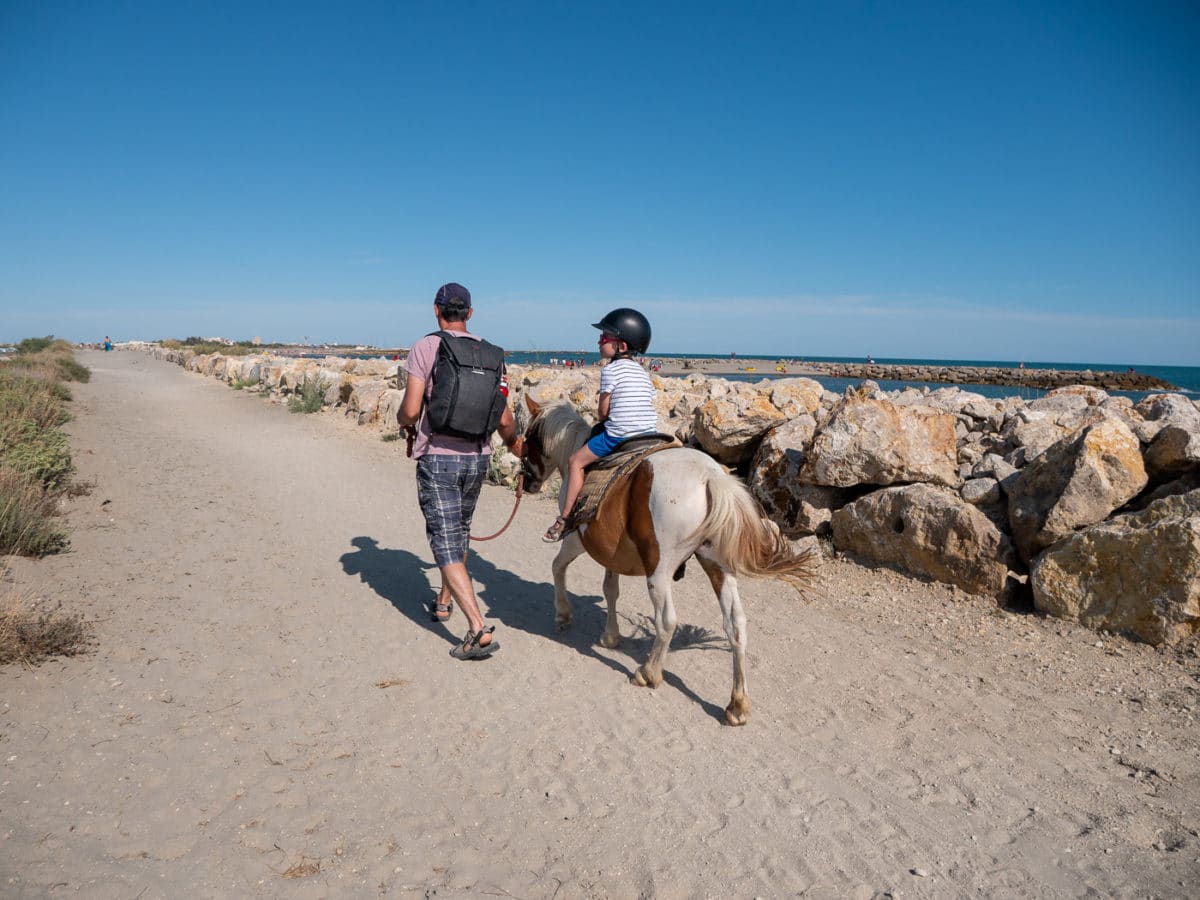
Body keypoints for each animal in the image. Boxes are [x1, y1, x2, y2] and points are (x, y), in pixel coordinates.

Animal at [523, 398, 816, 729]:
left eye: (527, 438)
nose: (528, 482)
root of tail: (711, 477)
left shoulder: (576, 539)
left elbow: (558, 567)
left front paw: (563, 615)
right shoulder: (611, 551)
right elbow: (610, 589)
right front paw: (611, 636)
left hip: (659, 570)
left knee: (667, 621)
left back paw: (648, 673)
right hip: (717, 565)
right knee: (736, 625)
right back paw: (737, 705)